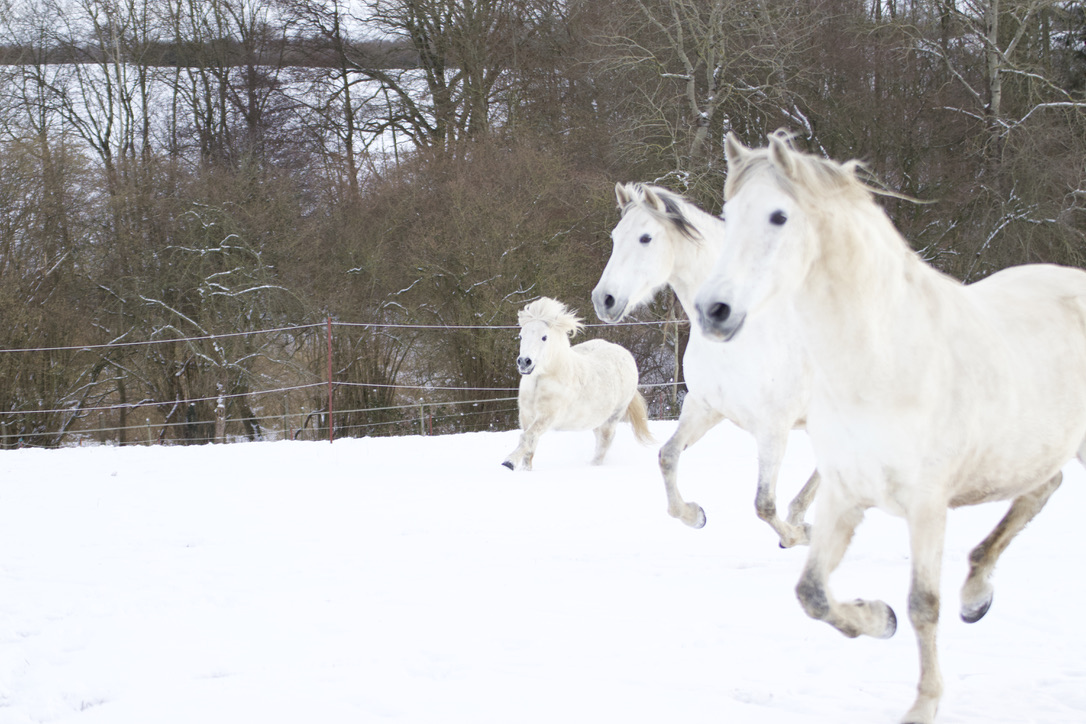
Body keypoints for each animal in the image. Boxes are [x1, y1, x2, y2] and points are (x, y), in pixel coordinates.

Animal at [501, 297, 651, 473]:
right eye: (521, 336)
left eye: (544, 337)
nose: (524, 362)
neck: (541, 379)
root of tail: (627, 355)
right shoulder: (526, 415)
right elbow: (531, 445)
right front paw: (525, 470)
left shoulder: (548, 416)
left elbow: (528, 437)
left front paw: (508, 463)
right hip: (597, 419)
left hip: (614, 416)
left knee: (605, 442)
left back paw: (594, 466)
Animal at [590, 182, 816, 549]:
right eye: (614, 236)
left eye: (645, 238)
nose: (604, 300)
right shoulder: (705, 407)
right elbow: (667, 457)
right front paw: (695, 515)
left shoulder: (773, 427)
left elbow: (764, 504)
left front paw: (797, 536)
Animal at [690, 130, 1086, 724]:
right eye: (729, 213)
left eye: (779, 216)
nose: (713, 310)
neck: (885, 357)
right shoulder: (845, 497)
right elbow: (812, 593)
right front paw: (877, 619)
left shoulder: (926, 505)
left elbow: (923, 605)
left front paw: (923, 704)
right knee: (1042, 489)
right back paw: (977, 594)